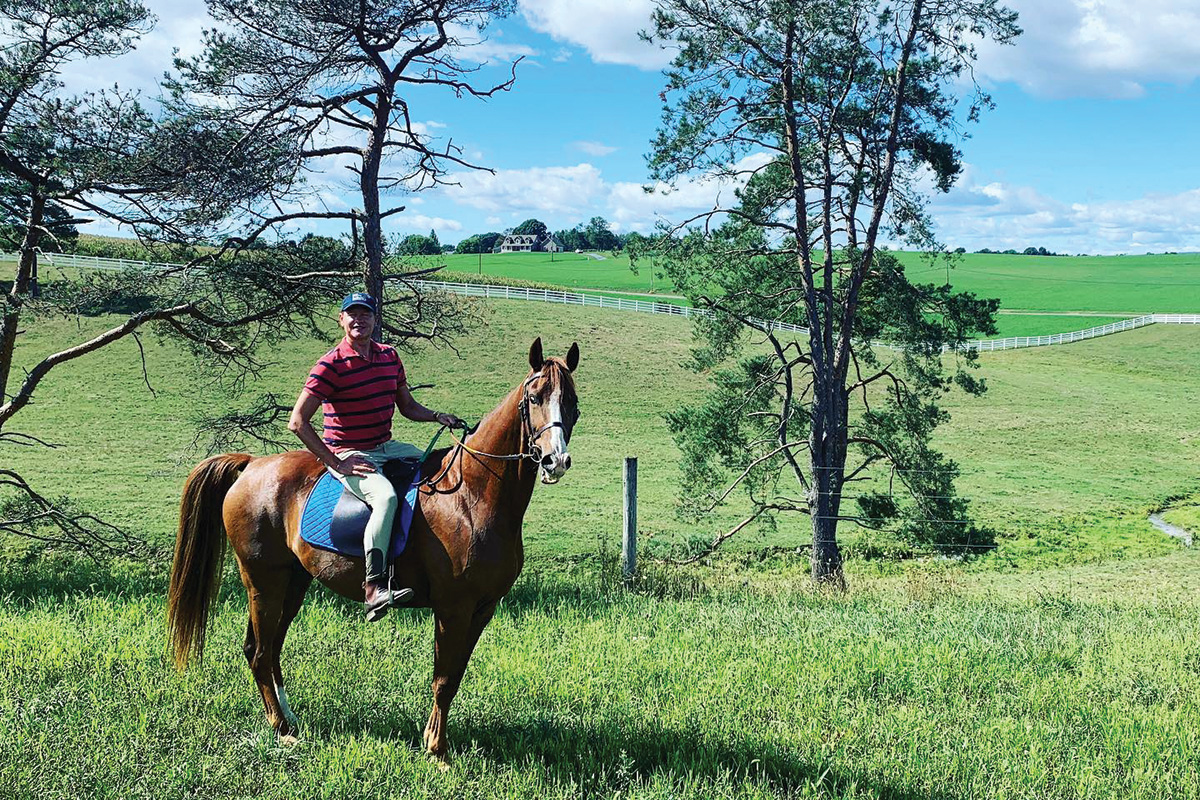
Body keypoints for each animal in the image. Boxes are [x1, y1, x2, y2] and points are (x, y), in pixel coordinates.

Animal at [168, 338, 580, 758]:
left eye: (572, 402)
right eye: (535, 397)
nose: (555, 461)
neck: (471, 495)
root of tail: (251, 465)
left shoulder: (483, 608)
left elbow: (455, 675)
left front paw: (434, 741)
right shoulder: (454, 607)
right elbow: (444, 678)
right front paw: (437, 751)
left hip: (293, 585)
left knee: (267, 650)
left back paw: (289, 718)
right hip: (264, 584)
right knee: (261, 652)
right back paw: (282, 729)